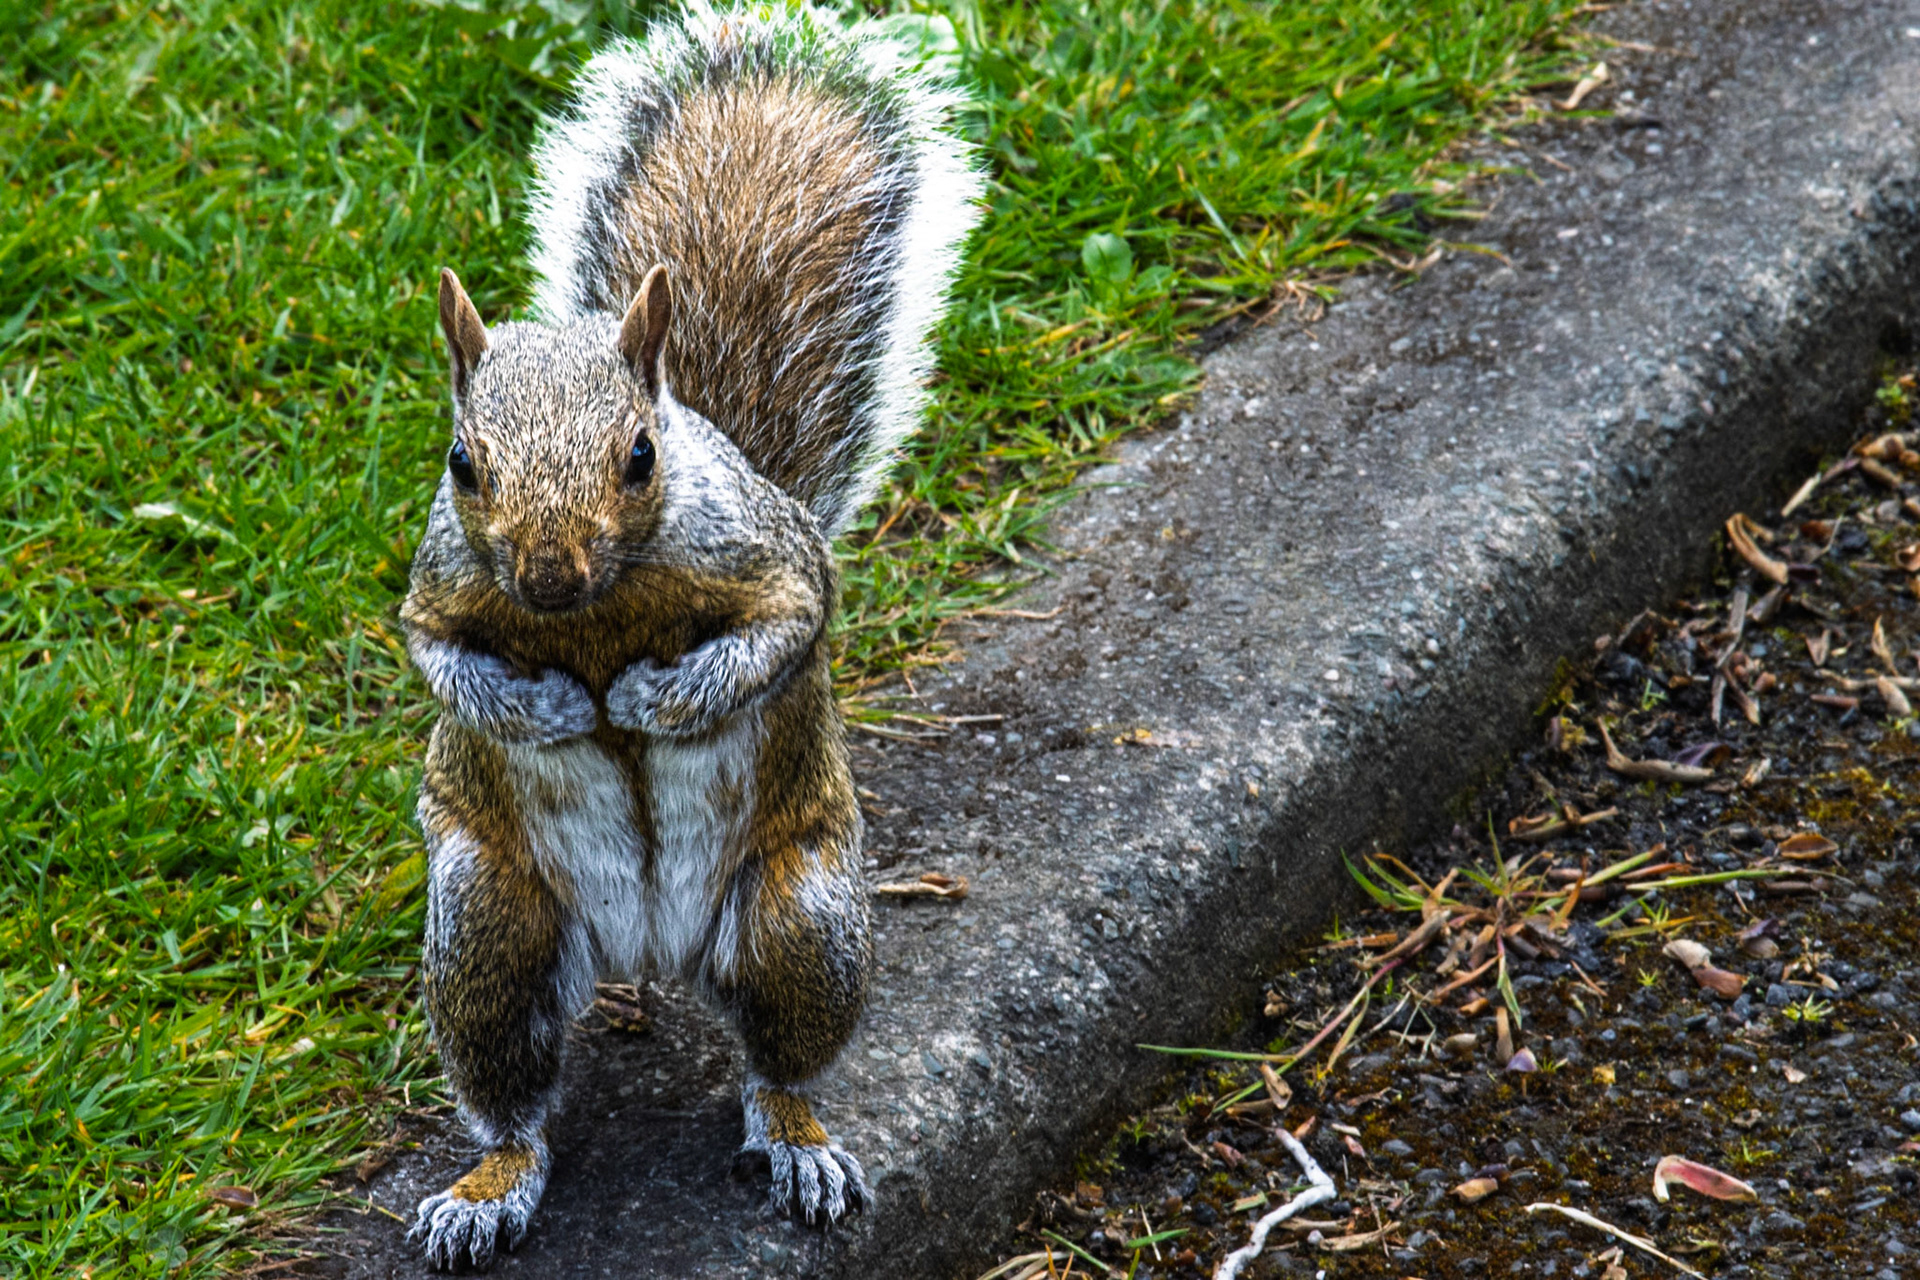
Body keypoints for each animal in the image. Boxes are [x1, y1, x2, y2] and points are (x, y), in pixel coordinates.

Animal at [396, 3, 980, 1269]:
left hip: (798, 918)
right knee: (513, 1094)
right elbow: (446, 663)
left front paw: (652, 700)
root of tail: (650, 953)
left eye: (639, 455)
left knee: (779, 1059)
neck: (603, 606)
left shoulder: (778, 563)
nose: (547, 572)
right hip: (492, 926)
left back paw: (800, 1141)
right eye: (463, 463)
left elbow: (781, 632)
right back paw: (487, 1186)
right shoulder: (436, 591)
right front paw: (557, 708)